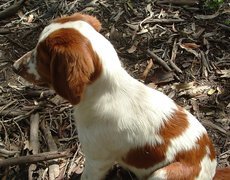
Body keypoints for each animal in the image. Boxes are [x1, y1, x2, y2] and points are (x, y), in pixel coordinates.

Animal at [13, 13, 229, 180]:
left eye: (41, 58)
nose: (15, 67)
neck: (104, 92)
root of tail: (212, 169)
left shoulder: (96, 159)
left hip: (164, 174)